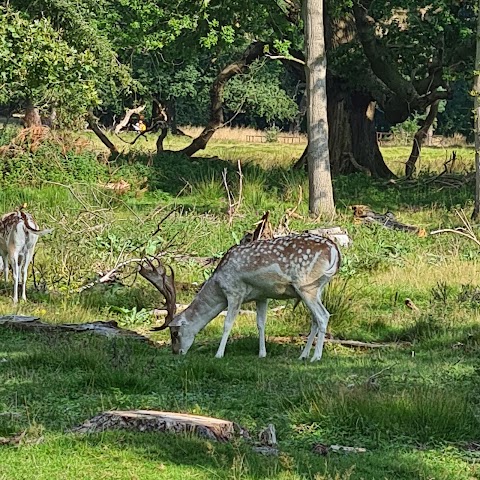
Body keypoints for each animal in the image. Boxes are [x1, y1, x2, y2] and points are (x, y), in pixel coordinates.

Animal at [140, 234, 342, 362]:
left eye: (175, 333)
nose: (176, 352)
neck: (218, 284)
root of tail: (334, 251)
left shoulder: (234, 291)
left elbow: (227, 324)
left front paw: (219, 354)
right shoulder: (262, 295)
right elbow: (260, 323)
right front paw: (262, 353)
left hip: (305, 285)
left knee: (323, 316)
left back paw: (316, 357)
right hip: (318, 287)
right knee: (315, 320)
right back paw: (303, 355)